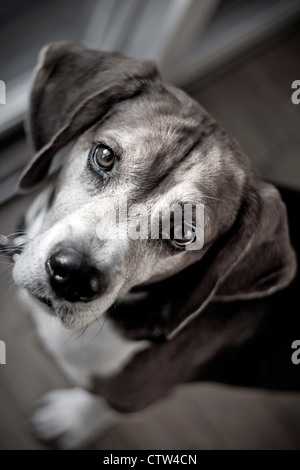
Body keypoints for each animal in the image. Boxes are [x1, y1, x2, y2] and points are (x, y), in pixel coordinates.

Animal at [11, 43, 296, 448]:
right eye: (104, 155)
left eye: (183, 233)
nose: (73, 275)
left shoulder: (133, 393)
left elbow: (101, 404)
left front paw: (70, 420)